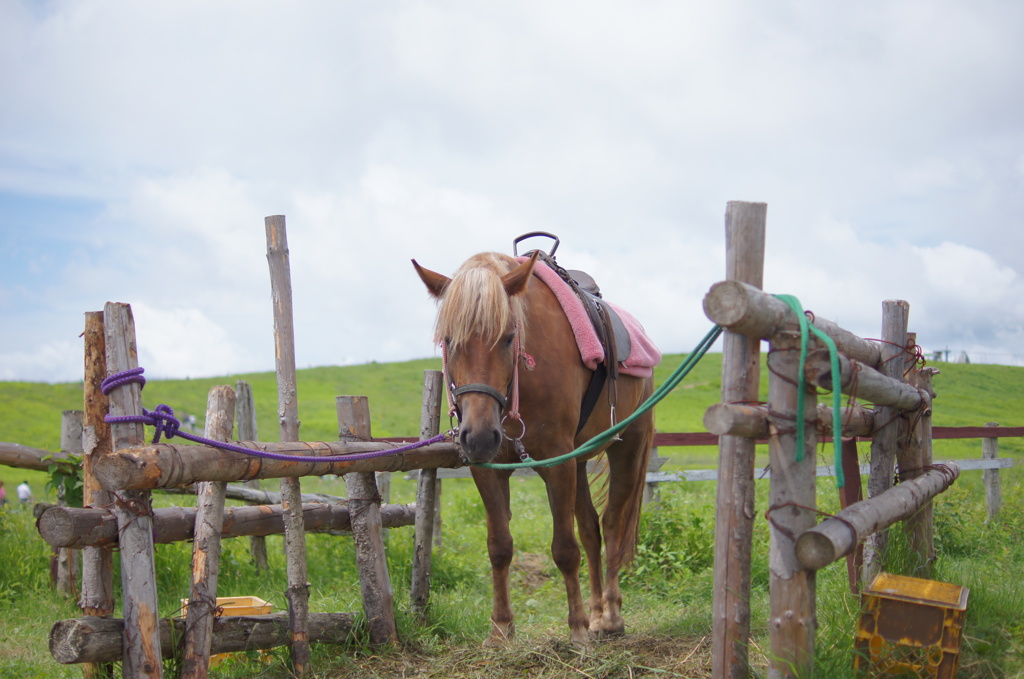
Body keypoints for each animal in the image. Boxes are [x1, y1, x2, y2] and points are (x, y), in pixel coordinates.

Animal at [409, 251, 655, 647]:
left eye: (509, 338)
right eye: (448, 340)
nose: (479, 437)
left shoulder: (557, 464)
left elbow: (565, 549)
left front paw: (576, 630)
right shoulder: (489, 468)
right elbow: (499, 546)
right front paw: (500, 628)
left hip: (627, 447)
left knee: (613, 525)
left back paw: (611, 617)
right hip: (579, 460)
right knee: (591, 530)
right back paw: (597, 614)